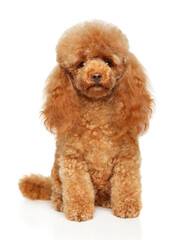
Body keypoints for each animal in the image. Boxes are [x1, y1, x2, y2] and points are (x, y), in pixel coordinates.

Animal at [18, 20, 153, 221]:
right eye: (81, 64)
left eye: (108, 62)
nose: (96, 75)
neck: (97, 116)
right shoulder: (72, 159)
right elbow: (78, 187)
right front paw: (79, 211)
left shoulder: (126, 157)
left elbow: (126, 183)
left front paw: (127, 208)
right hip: (56, 174)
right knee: (56, 191)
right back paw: (61, 203)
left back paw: (108, 201)